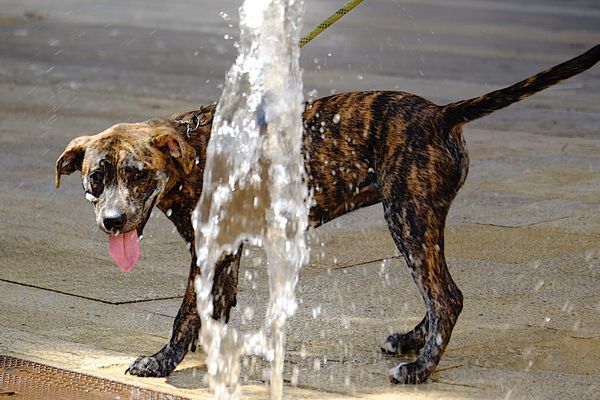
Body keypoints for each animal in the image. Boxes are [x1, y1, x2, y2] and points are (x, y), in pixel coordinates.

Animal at [56, 44, 600, 384]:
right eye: (97, 178)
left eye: (138, 174)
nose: (112, 222)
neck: (192, 153)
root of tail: (441, 113)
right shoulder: (224, 251)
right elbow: (216, 308)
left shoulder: (211, 249)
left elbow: (186, 312)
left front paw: (162, 362)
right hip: (418, 220)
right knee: (440, 293)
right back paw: (412, 341)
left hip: (407, 215)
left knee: (447, 296)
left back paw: (419, 370)